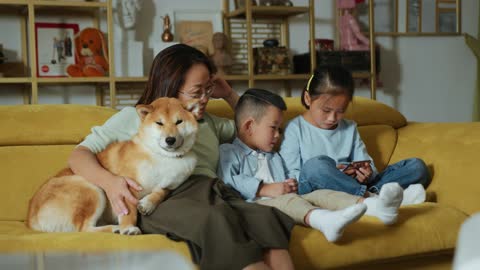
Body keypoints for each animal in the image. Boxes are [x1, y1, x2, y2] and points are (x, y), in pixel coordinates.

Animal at [27, 97, 200, 234]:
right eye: (159, 123)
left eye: (179, 122)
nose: (170, 140)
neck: (163, 157)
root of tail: (30, 220)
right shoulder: (127, 187)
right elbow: (129, 212)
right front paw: (128, 228)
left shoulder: (170, 185)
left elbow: (160, 193)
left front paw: (147, 204)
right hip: (91, 188)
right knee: (84, 229)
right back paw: (114, 228)